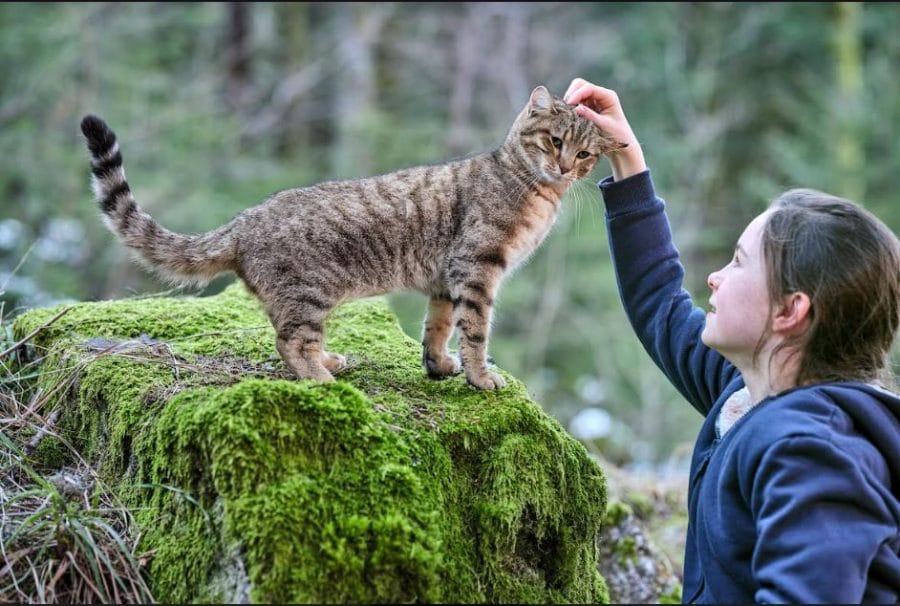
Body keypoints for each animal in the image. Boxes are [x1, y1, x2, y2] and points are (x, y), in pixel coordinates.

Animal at [81, 84, 624, 390]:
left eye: (583, 155)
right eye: (555, 141)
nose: (563, 167)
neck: (534, 189)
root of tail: (244, 220)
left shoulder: (446, 280)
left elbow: (438, 328)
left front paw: (438, 367)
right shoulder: (477, 267)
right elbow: (475, 330)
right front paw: (480, 376)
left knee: (291, 337)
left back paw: (330, 362)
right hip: (309, 293)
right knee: (289, 343)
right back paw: (324, 380)